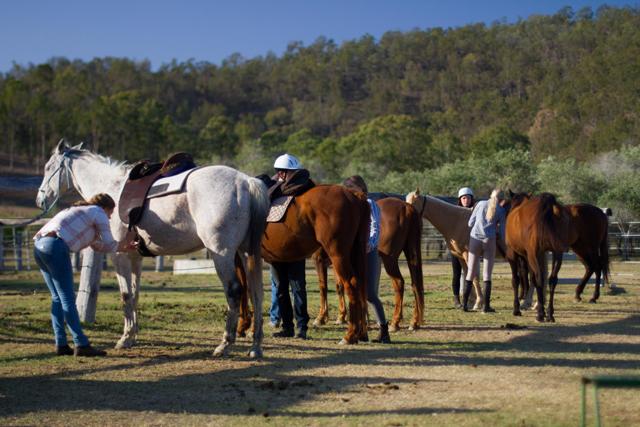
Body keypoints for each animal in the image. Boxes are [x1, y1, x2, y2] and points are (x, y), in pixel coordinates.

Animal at [238, 186, 370, 346]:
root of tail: (352, 194)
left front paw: (246, 328)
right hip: (354, 253)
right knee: (360, 286)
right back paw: (361, 333)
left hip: (338, 255)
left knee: (351, 285)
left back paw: (349, 335)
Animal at [312, 197, 422, 332]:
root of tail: (406, 207)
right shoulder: (335, 262)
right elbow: (339, 286)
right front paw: (341, 316)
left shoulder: (319, 260)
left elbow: (323, 287)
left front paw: (320, 318)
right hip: (411, 253)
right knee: (415, 284)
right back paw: (414, 322)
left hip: (389, 260)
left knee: (399, 283)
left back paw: (394, 323)